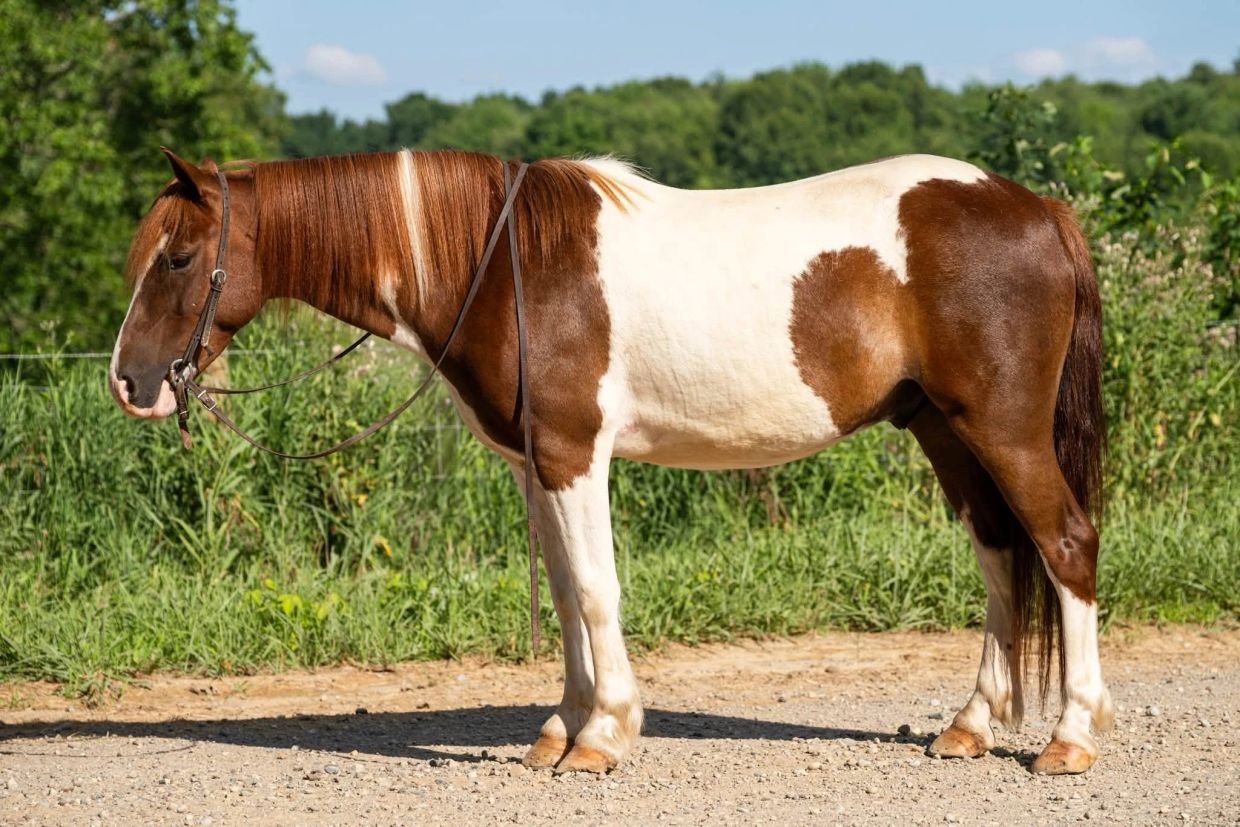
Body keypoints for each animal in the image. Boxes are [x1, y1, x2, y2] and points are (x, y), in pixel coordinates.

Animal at [110, 147, 1112, 776]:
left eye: (181, 258)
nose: (129, 382)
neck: (498, 261)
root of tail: (1039, 209)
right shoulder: (533, 464)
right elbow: (563, 595)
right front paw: (561, 727)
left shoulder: (573, 453)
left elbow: (596, 591)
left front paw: (604, 736)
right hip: (946, 430)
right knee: (1000, 554)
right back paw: (970, 726)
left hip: (1003, 429)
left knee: (1065, 542)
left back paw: (1069, 738)